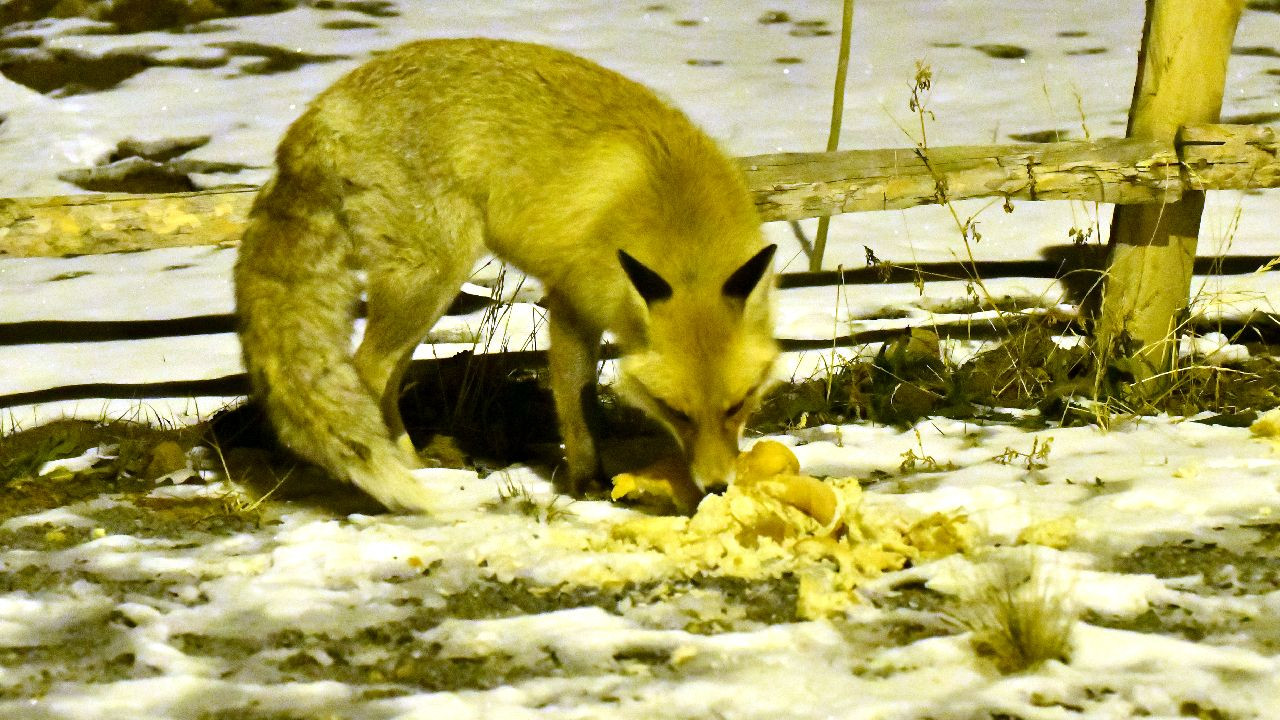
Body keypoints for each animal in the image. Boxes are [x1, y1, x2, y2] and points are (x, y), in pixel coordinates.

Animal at [236, 37, 778, 509]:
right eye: (677, 412)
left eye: (737, 406)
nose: (717, 487)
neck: (678, 220)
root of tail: (319, 110)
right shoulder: (572, 297)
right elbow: (577, 398)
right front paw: (588, 480)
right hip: (430, 278)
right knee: (367, 372)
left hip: (427, 293)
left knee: (387, 379)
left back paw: (419, 463)